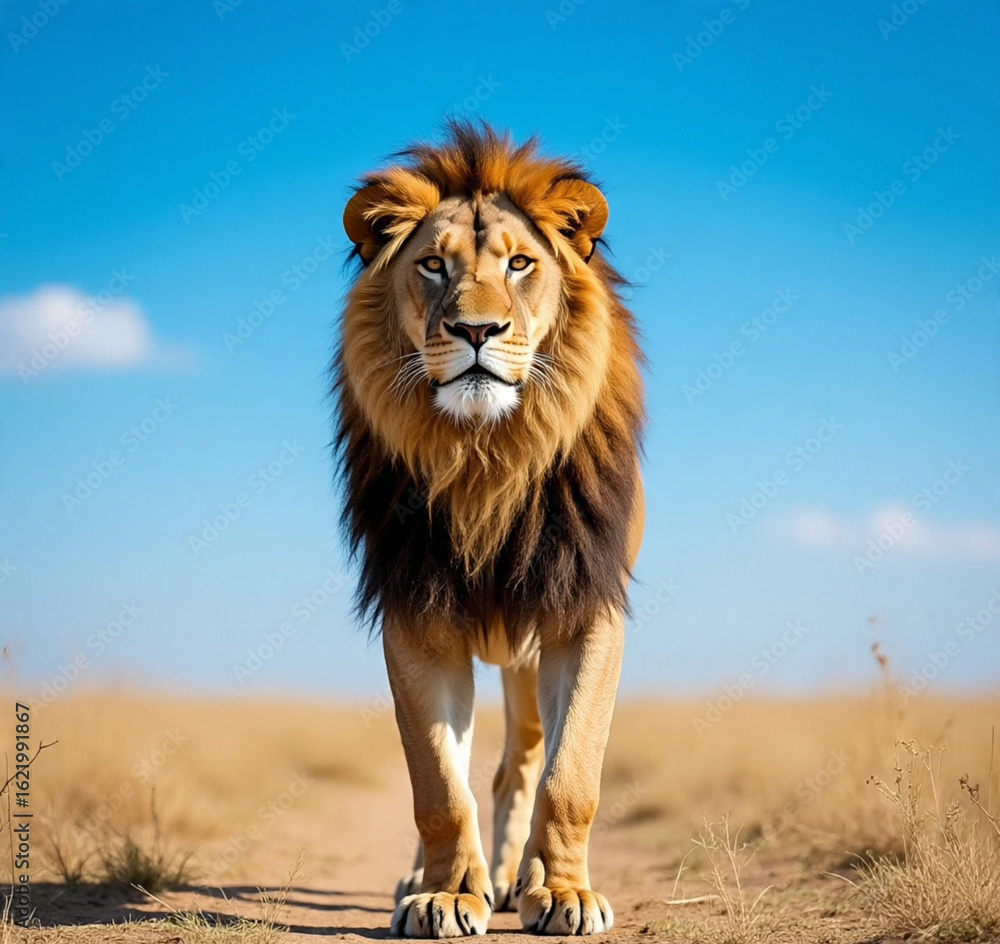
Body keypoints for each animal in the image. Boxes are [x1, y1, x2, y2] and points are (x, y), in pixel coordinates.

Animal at [334, 123, 645, 938]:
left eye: (520, 264)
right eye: (433, 265)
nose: (476, 329)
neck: (486, 456)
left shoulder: (584, 608)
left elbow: (572, 776)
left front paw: (563, 892)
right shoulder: (416, 616)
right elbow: (439, 787)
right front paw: (445, 895)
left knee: (521, 763)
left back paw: (519, 877)